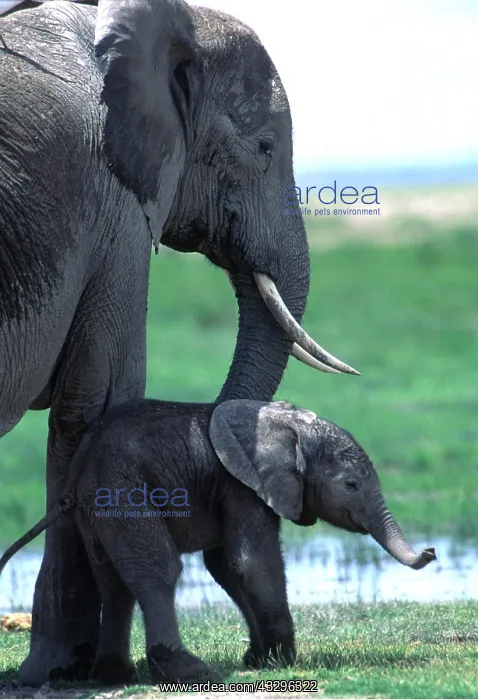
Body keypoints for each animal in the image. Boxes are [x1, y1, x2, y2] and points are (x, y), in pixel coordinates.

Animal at [0, 399, 436, 686]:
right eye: (351, 485)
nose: (431, 551)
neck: (286, 426)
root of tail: (78, 470)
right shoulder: (243, 486)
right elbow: (252, 562)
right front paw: (283, 659)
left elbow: (227, 566)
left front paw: (258, 658)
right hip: (123, 492)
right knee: (158, 570)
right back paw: (187, 670)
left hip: (98, 507)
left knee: (113, 580)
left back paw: (115, 675)